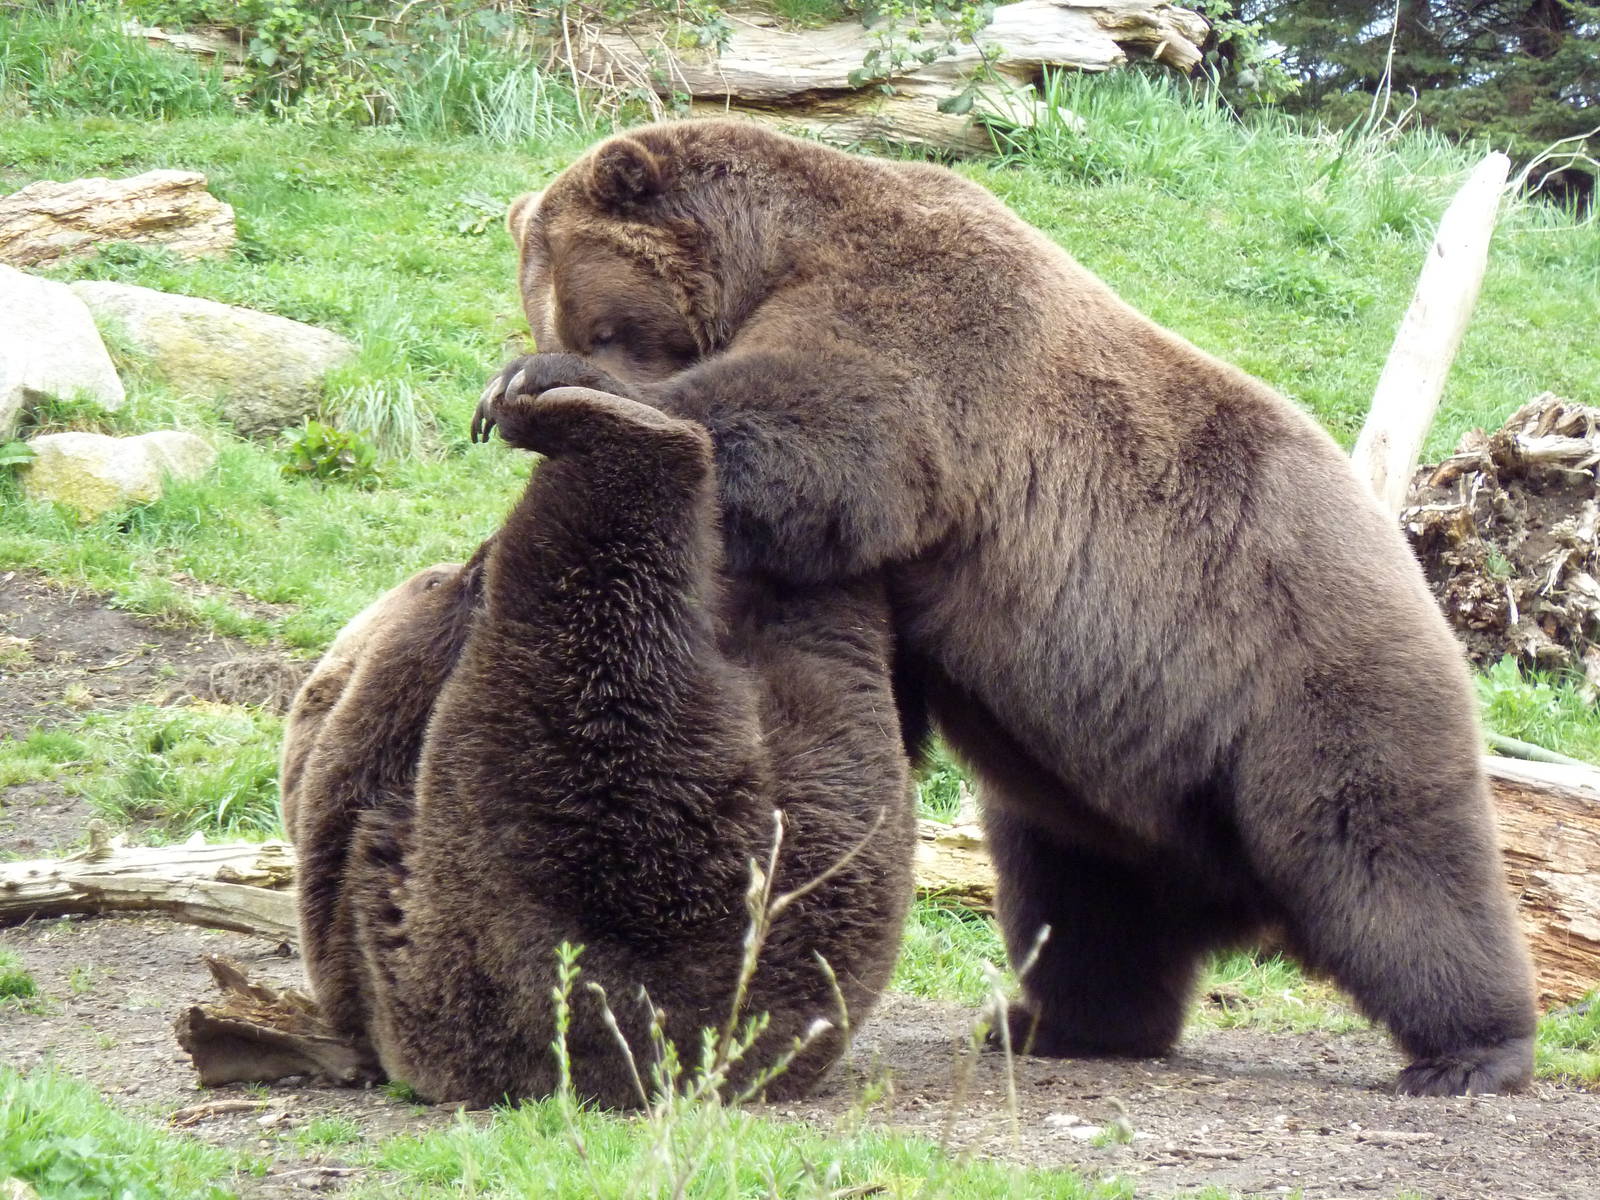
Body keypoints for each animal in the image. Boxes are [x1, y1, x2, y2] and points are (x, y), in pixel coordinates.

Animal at [283, 383, 916, 1108]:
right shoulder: (364, 818)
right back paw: (609, 425)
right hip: (530, 858)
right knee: (604, 612)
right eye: (431, 581)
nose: (469, 559)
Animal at [475, 118, 1538, 1096]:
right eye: (552, 308)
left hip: (1305, 676)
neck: (770, 254)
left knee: (1389, 857)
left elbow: (824, 421)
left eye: (596, 322)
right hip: (1105, 799)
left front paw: (538, 394)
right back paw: (1051, 1023)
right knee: (1084, 907)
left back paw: (1470, 1052)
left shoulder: (922, 323)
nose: (563, 351)